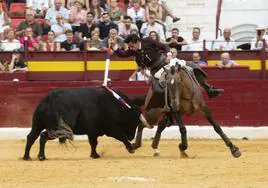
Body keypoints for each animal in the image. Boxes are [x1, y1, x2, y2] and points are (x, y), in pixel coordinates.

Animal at [22, 86, 153, 161]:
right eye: (134, 121)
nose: (132, 137)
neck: (117, 104)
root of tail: (48, 101)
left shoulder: (93, 131)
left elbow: (93, 143)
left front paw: (94, 155)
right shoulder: (112, 128)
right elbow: (121, 136)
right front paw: (131, 148)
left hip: (37, 125)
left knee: (31, 137)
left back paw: (27, 157)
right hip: (57, 129)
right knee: (43, 136)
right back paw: (41, 156)